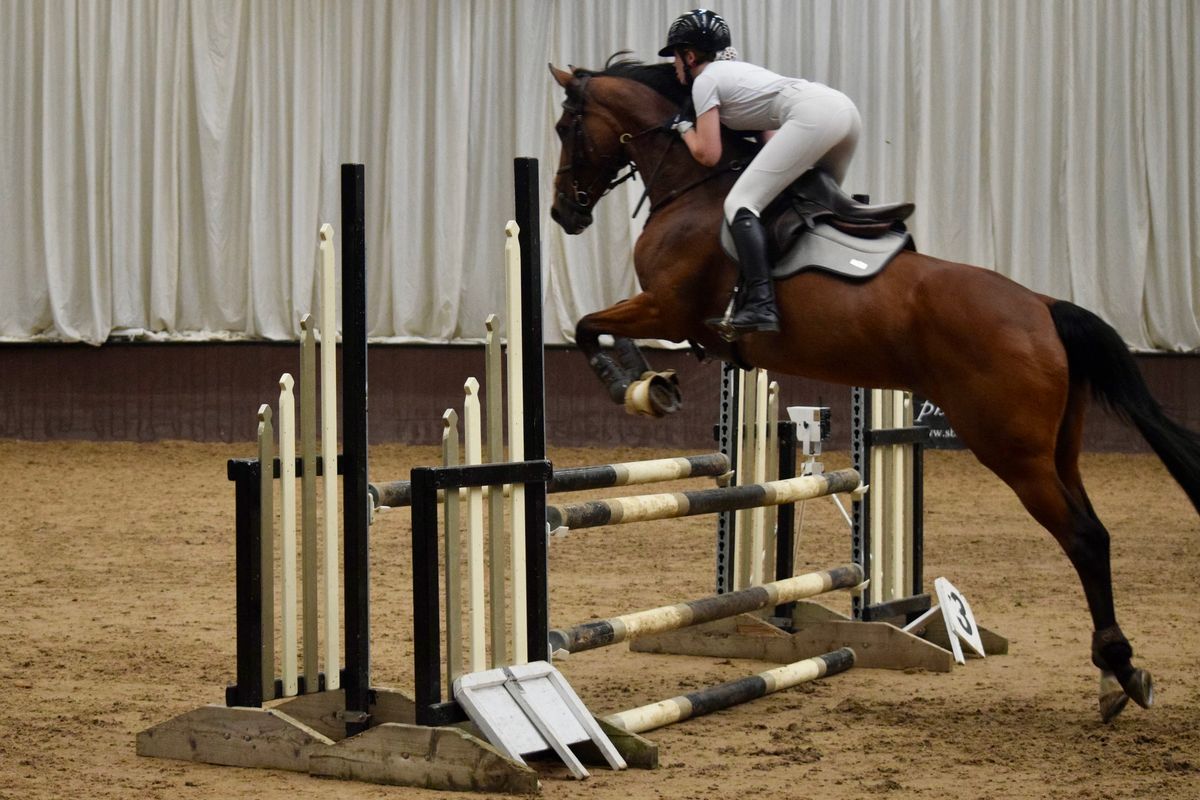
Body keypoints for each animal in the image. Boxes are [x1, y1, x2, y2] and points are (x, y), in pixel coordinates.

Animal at [547, 53, 1200, 724]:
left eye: (567, 128)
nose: (563, 213)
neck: (693, 187)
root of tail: (1043, 305)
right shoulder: (666, 313)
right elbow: (597, 327)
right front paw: (652, 382)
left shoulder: (667, 309)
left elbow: (588, 326)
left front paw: (634, 386)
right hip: (1057, 450)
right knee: (1094, 527)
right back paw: (1114, 671)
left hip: (1013, 452)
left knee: (1085, 538)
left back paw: (1118, 670)